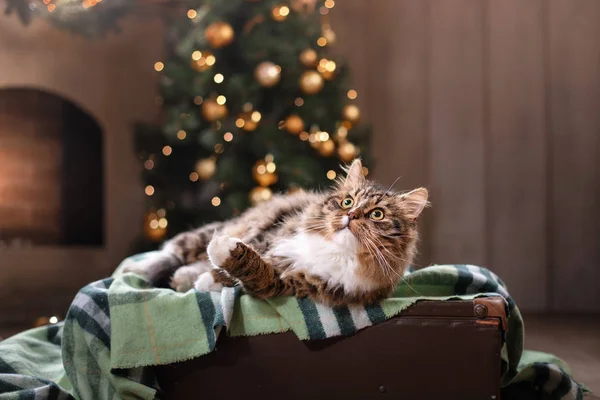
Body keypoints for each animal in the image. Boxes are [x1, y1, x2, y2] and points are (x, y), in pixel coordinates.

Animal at [124, 159, 428, 306]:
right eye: (347, 202)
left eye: (377, 215)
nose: (350, 215)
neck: (337, 252)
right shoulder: (270, 237)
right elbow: (248, 253)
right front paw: (213, 273)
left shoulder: (289, 285)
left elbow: (253, 270)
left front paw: (215, 267)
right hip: (216, 231)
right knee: (171, 251)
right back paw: (137, 270)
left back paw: (184, 278)